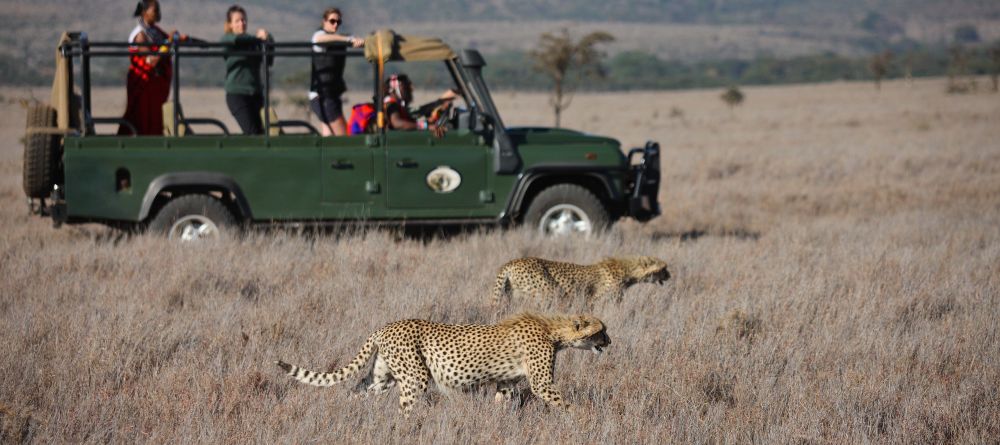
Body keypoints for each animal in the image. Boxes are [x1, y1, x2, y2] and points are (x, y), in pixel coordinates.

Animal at [274, 312, 608, 416]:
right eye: (600, 330)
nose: (610, 341)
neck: (555, 330)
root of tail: (385, 327)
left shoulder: (506, 383)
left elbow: (503, 402)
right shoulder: (541, 383)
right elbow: (563, 402)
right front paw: (582, 418)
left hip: (382, 377)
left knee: (357, 391)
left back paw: (345, 413)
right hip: (415, 376)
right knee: (404, 410)